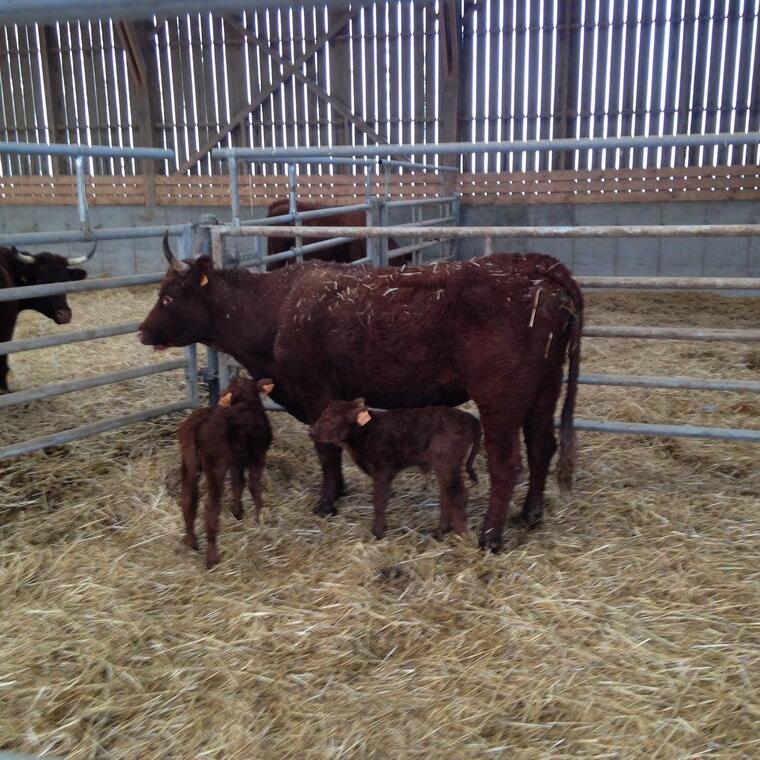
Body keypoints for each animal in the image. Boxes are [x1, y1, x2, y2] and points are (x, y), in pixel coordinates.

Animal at [177, 378, 274, 568]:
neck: (247, 401)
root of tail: (201, 418)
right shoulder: (257, 455)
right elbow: (254, 485)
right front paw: (260, 516)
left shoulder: (237, 459)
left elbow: (238, 483)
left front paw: (238, 512)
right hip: (216, 465)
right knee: (210, 506)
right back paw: (212, 556)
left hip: (189, 461)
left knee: (187, 498)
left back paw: (191, 541)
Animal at [308, 398, 480, 540]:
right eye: (322, 415)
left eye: (330, 421)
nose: (311, 432)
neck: (364, 433)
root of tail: (469, 418)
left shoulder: (383, 472)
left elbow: (379, 502)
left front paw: (378, 533)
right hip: (443, 467)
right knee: (446, 495)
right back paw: (440, 531)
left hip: (448, 464)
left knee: (457, 495)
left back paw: (462, 535)